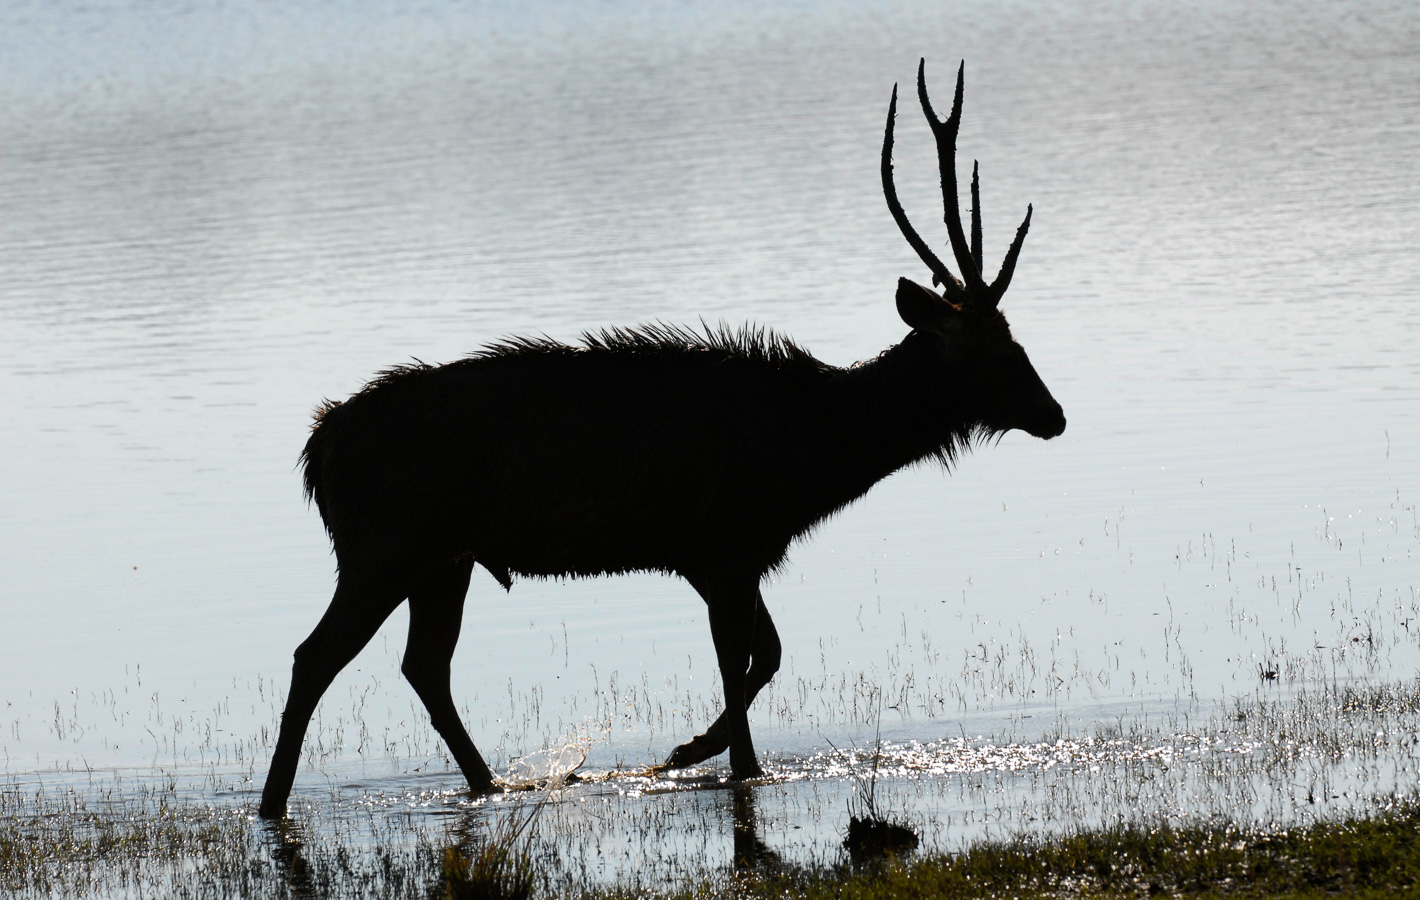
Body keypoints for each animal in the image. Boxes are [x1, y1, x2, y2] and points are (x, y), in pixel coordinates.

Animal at [258, 59, 1067, 817]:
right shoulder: (726, 541)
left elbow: (769, 654)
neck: (814, 452)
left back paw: (491, 782)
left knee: (423, 667)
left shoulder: (718, 556)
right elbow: (741, 663)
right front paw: (720, 758)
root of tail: (317, 448)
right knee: (315, 656)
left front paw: (688, 750)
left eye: (1014, 335)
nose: (1054, 414)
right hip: (384, 545)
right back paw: (274, 799)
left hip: (444, 559)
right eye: (992, 348)